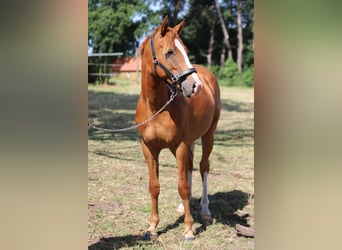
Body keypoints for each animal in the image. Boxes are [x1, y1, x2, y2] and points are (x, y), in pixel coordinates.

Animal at [135, 16, 220, 240]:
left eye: (186, 49)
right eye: (170, 52)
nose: (196, 86)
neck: (157, 107)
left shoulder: (179, 145)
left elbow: (182, 187)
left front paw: (188, 229)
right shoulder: (149, 148)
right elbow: (154, 186)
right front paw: (152, 228)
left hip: (208, 136)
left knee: (203, 167)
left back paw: (205, 210)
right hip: (190, 142)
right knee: (189, 169)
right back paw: (184, 208)